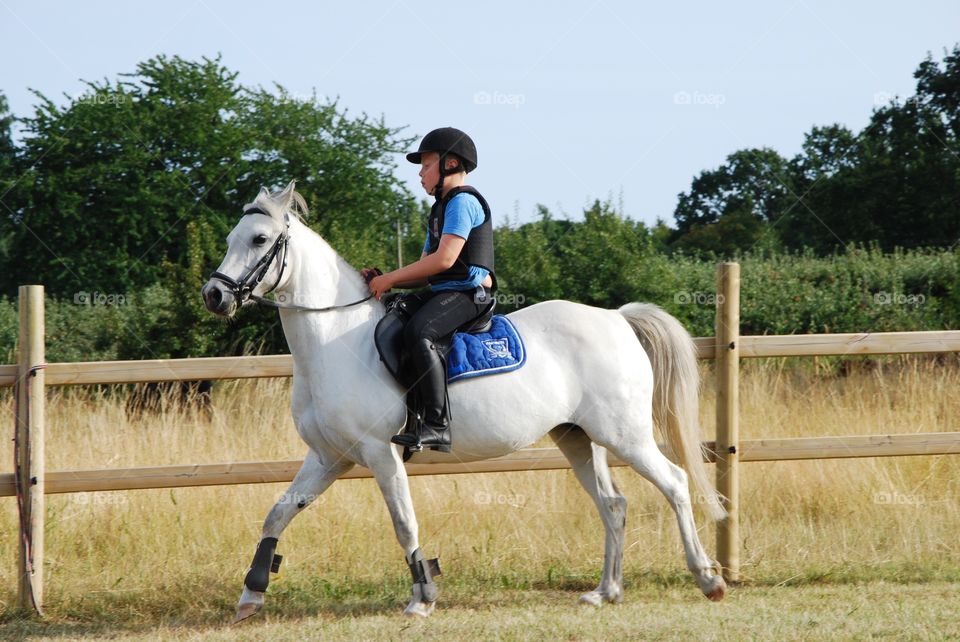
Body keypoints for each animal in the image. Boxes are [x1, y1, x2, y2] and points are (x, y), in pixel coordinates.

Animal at [202, 180, 728, 620]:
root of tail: (618, 318)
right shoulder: (329, 457)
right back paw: (605, 591)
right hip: (579, 437)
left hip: (625, 434)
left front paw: (422, 598)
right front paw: (251, 593)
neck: (334, 340)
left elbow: (404, 524)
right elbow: (278, 512)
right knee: (613, 504)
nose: (213, 295)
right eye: (231, 237)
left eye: (260, 240)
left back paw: (708, 579)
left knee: (675, 483)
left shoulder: (380, 453)